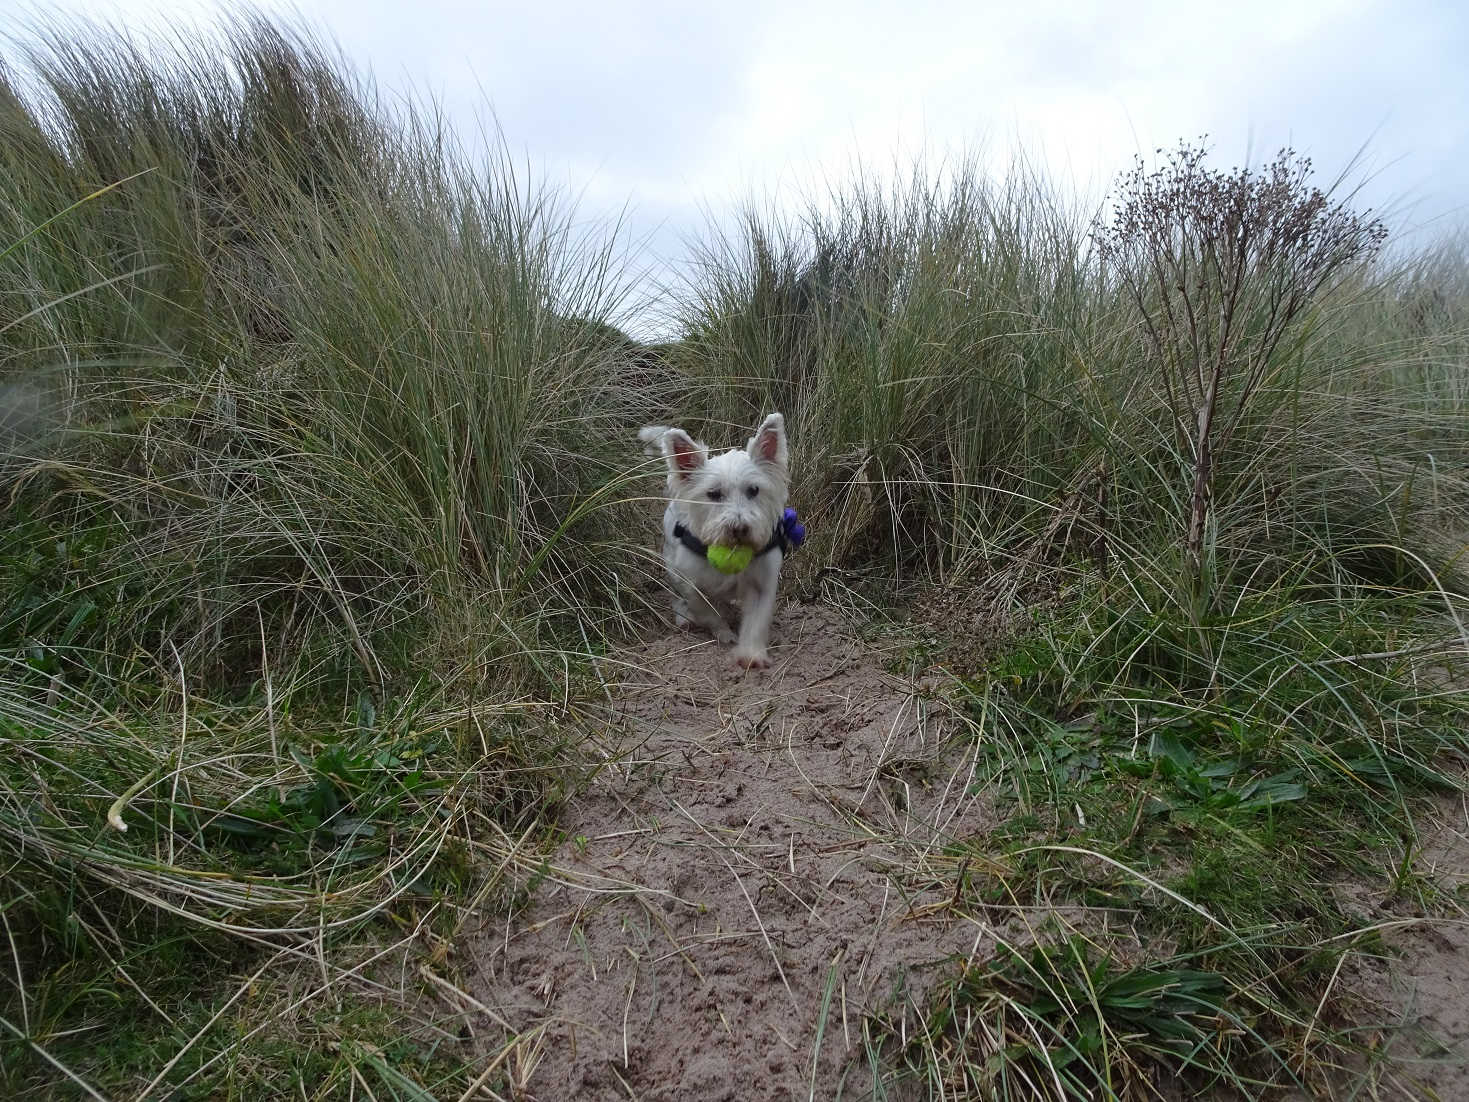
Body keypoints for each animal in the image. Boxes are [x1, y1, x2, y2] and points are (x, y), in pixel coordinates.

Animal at [634, 417, 793, 670]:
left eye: (754, 490)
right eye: (713, 494)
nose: (739, 528)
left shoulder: (763, 582)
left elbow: (756, 620)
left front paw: (751, 654)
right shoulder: (689, 581)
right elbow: (707, 611)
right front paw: (724, 633)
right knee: (679, 600)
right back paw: (684, 617)